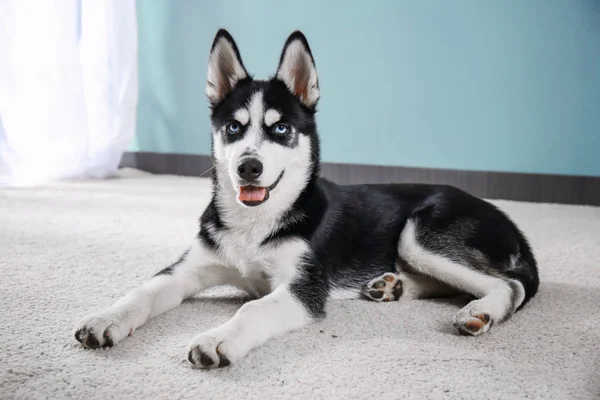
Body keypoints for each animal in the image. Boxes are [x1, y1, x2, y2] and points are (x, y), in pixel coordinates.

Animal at [74, 28, 540, 368]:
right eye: (233, 128)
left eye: (281, 129)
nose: (248, 167)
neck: (255, 225)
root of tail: (508, 220)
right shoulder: (187, 269)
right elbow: (142, 292)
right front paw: (105, 319)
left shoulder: (302, 288)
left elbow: (253, 310)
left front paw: (218, 338)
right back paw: (389, 286)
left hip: (421, 234)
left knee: (510, 285)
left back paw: (479, 311)